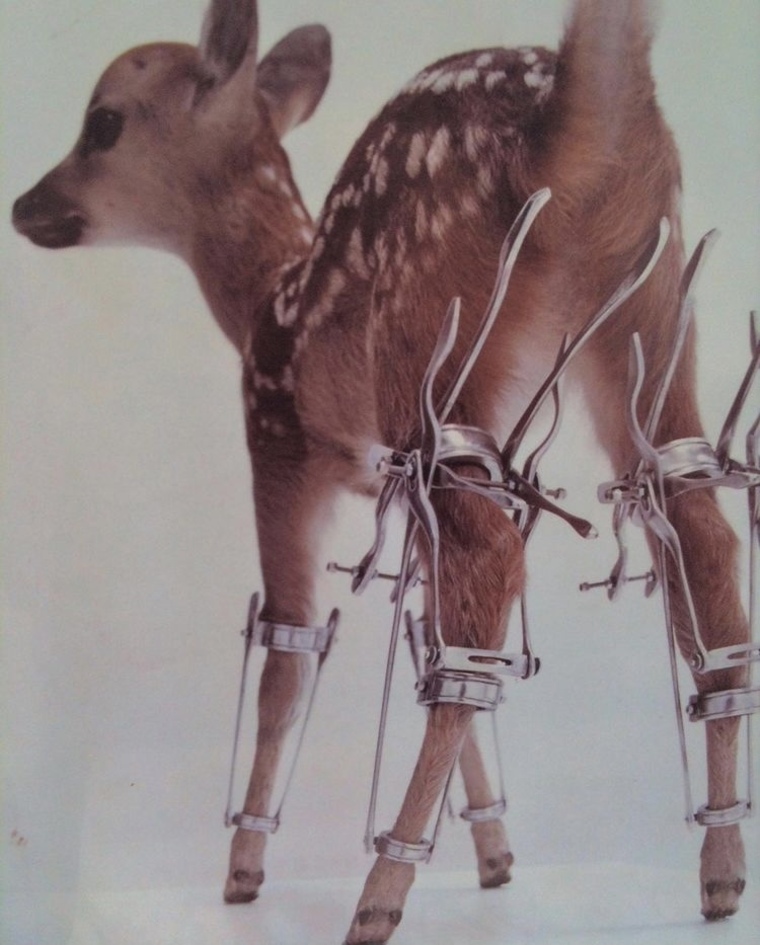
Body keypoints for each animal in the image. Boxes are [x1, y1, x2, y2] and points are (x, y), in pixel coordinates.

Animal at [11, 1, 755, 942]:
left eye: (102, 122)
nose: (24, 205)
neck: (267, 294)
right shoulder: (391, 494)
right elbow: (425, 632)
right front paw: (494, 852)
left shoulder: (277, 444)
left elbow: (288, 647)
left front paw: (244, 867)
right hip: (649, 327)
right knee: (699, 541)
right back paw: (720, 868)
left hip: (428, 344)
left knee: (494, 556)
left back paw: (378, 892)